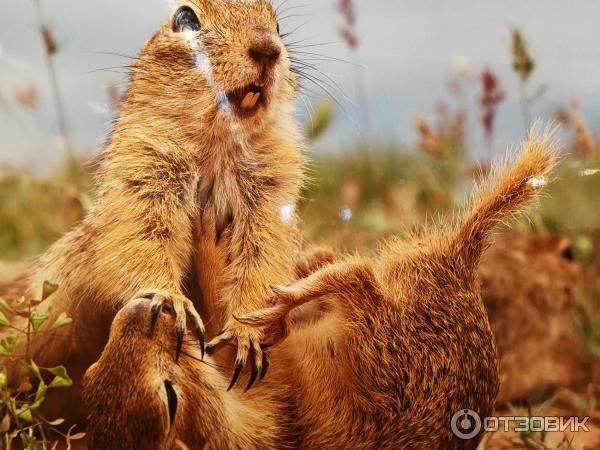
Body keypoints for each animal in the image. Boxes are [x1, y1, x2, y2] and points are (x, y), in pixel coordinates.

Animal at [1, 0, 304, 422]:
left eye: (277, 25)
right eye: (185, 18)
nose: (267, 49)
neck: (219, 145)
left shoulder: (272, 199)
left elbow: (264, 263)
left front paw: (247, 334)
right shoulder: (142, 174)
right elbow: (140, 240)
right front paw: (171, 301)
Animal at [83, 131, 556, 450]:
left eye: (169, 399)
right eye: (90, 374)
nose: (141, 312)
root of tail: (460, 263)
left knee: (354, 274)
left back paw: (287, 292)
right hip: (381, 337)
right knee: (359, 275)